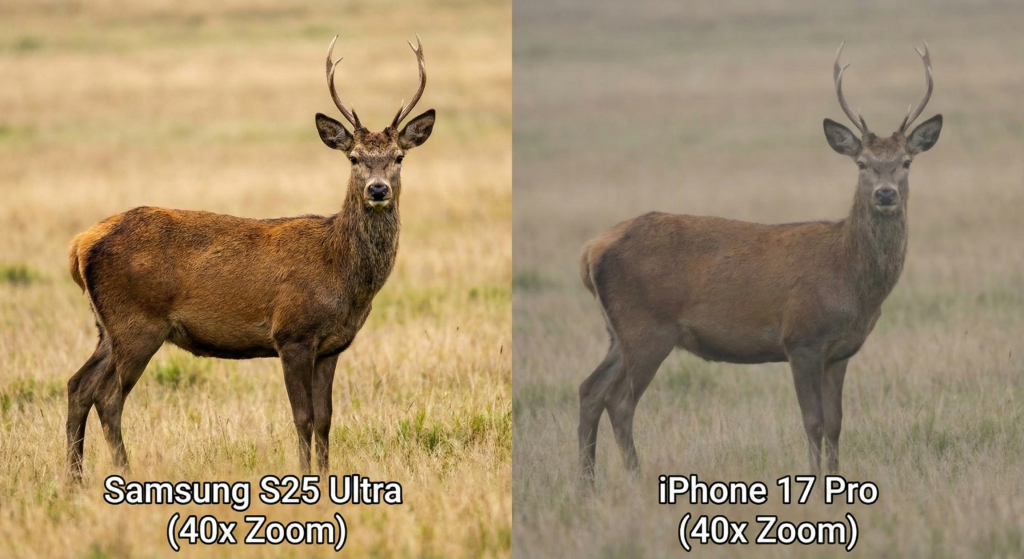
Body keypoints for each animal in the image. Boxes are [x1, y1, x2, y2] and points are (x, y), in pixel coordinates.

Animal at [65, 35, 435, 481]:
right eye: (354, 158)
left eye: (398, 157)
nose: (378, 190)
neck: (342, 273)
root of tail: (80, 244)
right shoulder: (292, 333)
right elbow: (303, 417)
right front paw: (304, 479)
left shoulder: (332, 346)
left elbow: (326, 419)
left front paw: (326, 475)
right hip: (136, 322)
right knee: (107, 395)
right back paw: (122, 473)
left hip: (106, 327)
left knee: (77, 385)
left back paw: (73, 479)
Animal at [577, 42, 942, 486]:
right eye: (862, 164)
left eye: (906, 161)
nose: (886, 194)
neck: (850, 282)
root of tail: (591, 250)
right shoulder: (801, 338)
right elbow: (813, 422)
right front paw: (812, 480)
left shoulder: (840, 351)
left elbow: (837, 423)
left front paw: (836, 479)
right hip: (647, 327)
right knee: (619, 401)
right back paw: (634, 479)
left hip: (617, 332)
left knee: (589, 390)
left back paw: (586, 484)